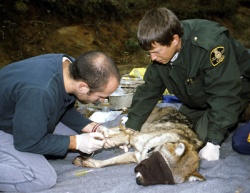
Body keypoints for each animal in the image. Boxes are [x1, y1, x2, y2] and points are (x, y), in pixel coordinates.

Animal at [73, 107, 206, 185]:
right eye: (159, 164)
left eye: (166, 180)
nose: (139, 182)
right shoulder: (131, 138)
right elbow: (107, 140)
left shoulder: (133, 155)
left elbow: (104, 163)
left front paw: (87, 162)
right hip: (133, 127)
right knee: (111, 130)